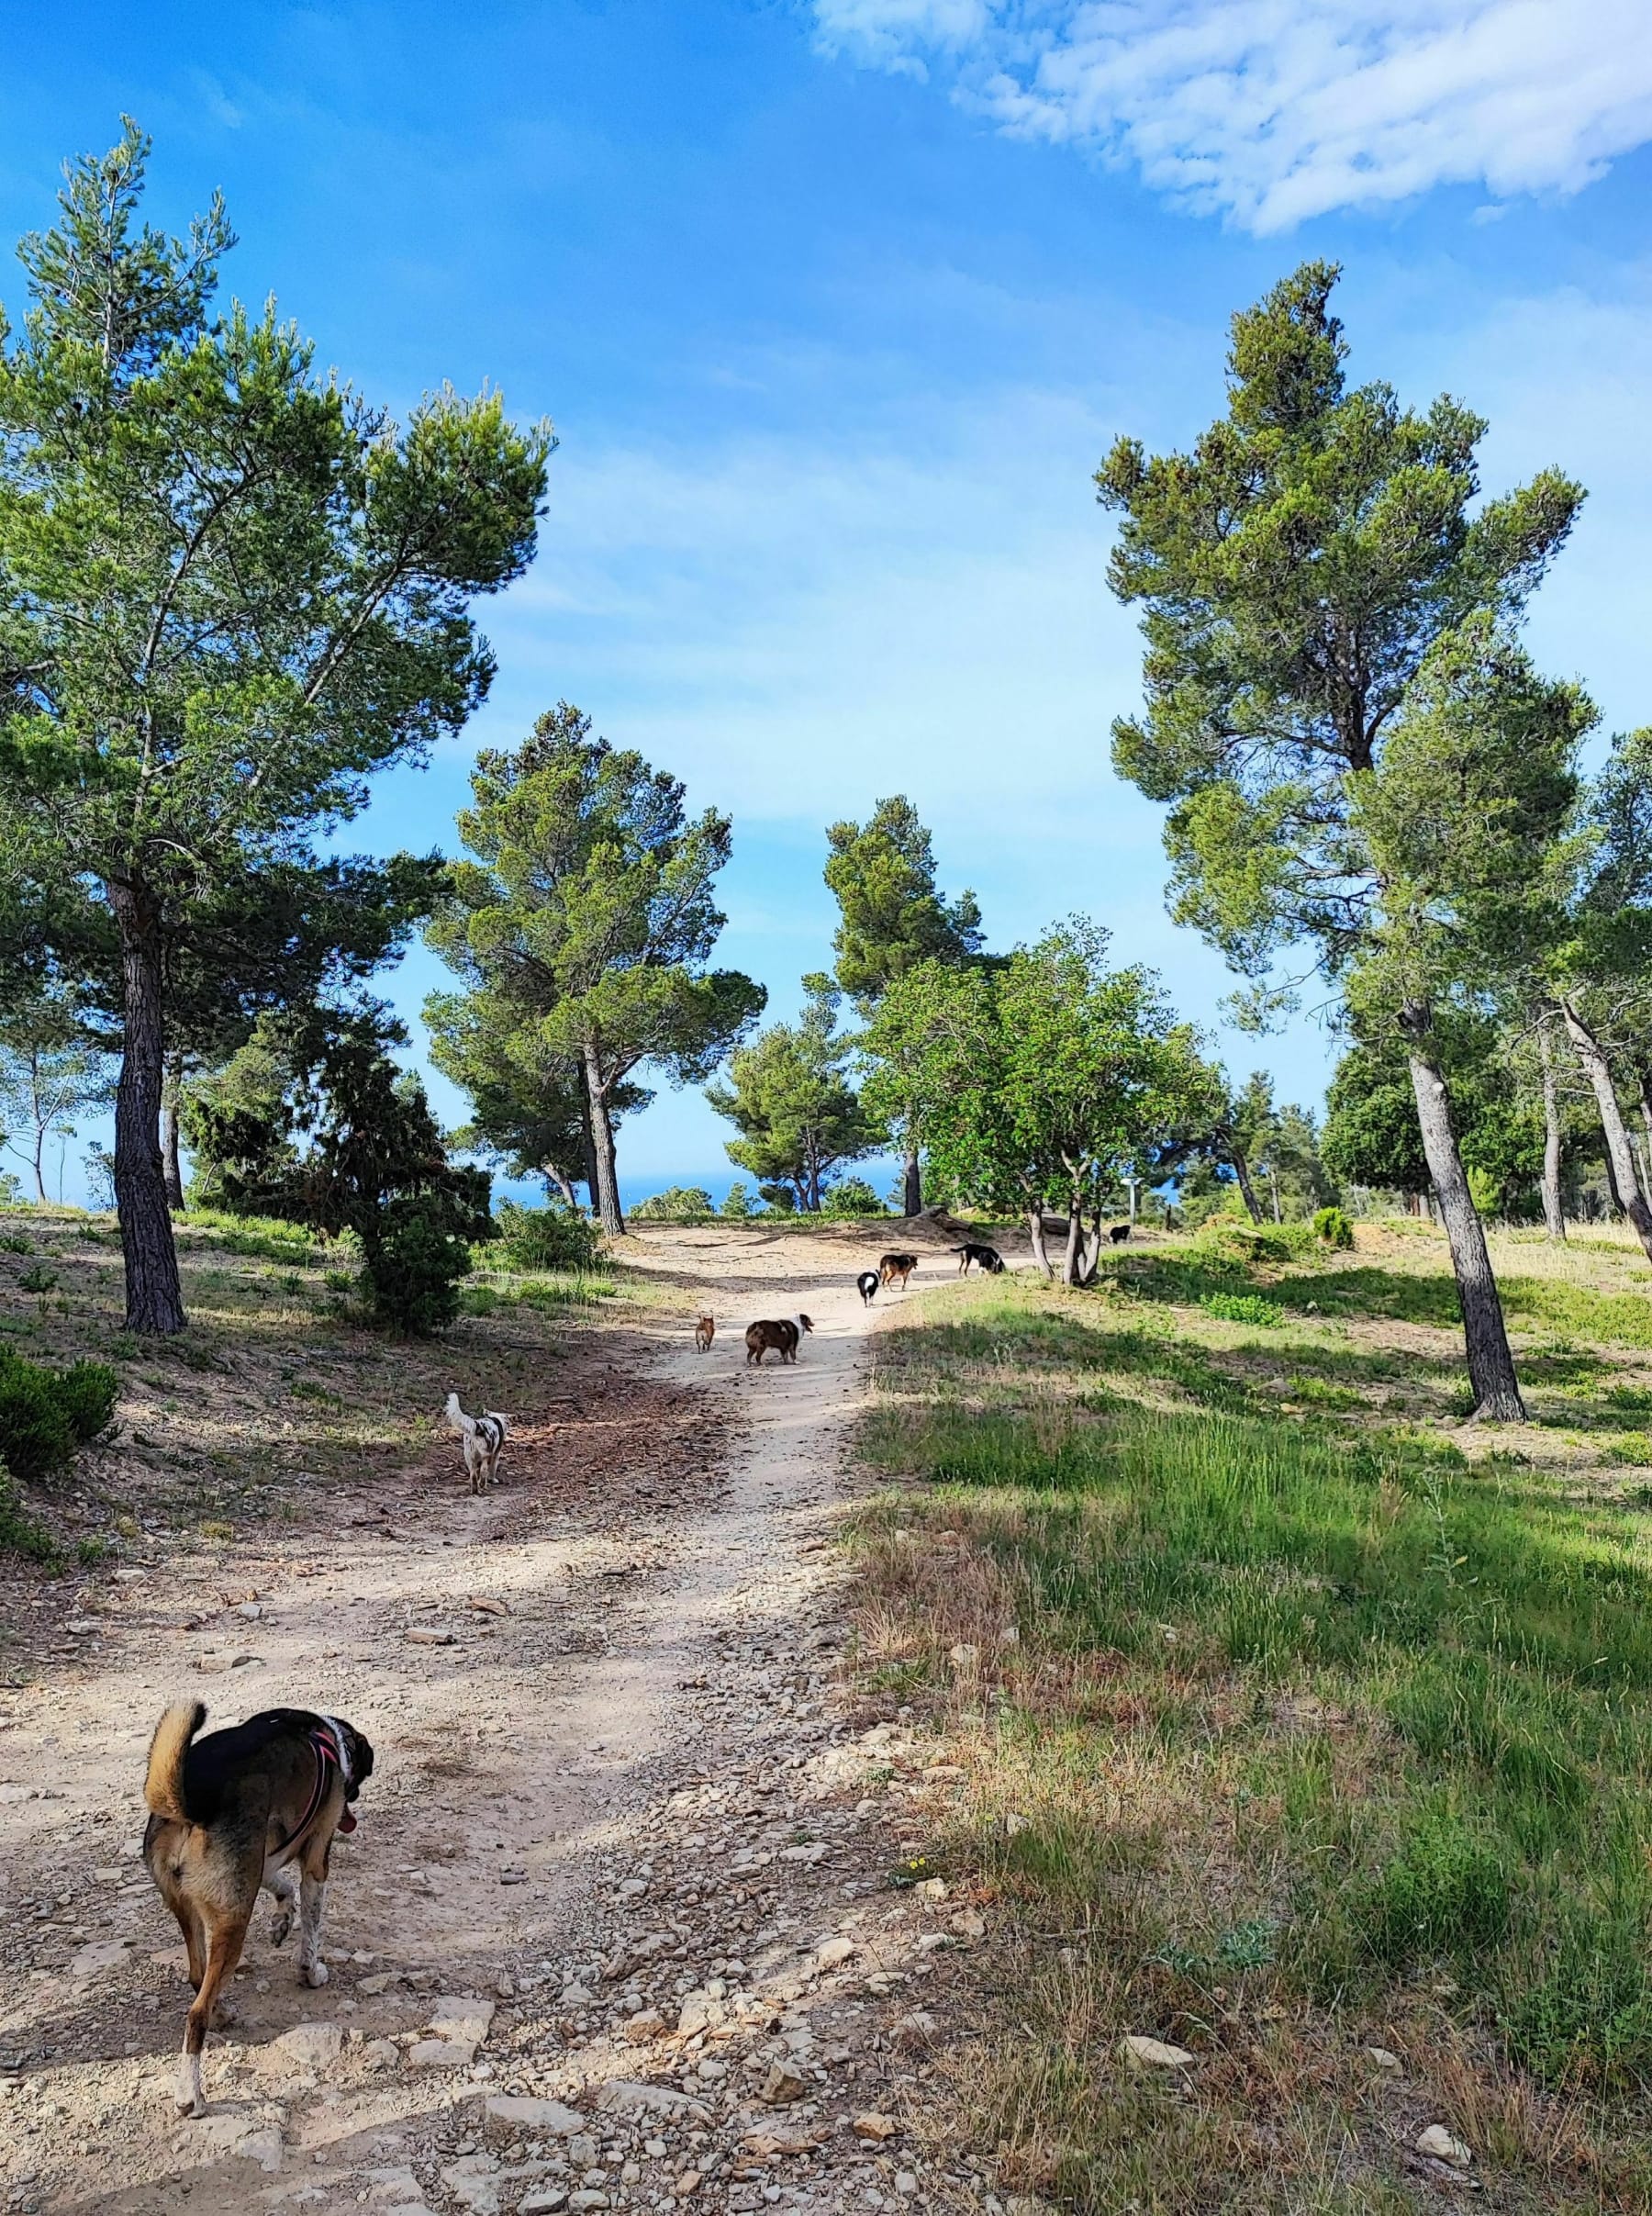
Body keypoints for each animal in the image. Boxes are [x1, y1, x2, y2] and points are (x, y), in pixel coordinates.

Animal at [142, 1701, 374, 2118]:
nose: (353, 1806)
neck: (330, 1738)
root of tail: (190, 1805)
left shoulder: (262, 1861)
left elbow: (282, 1887)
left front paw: (282, 1919)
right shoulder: (317, 1858)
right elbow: (311, 1926)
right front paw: (311, 1972)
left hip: (191, 1911)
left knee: (197, 1978)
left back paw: (220, 2014)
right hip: (233, 1923)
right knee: (195, 2013)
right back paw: (190, 2096)